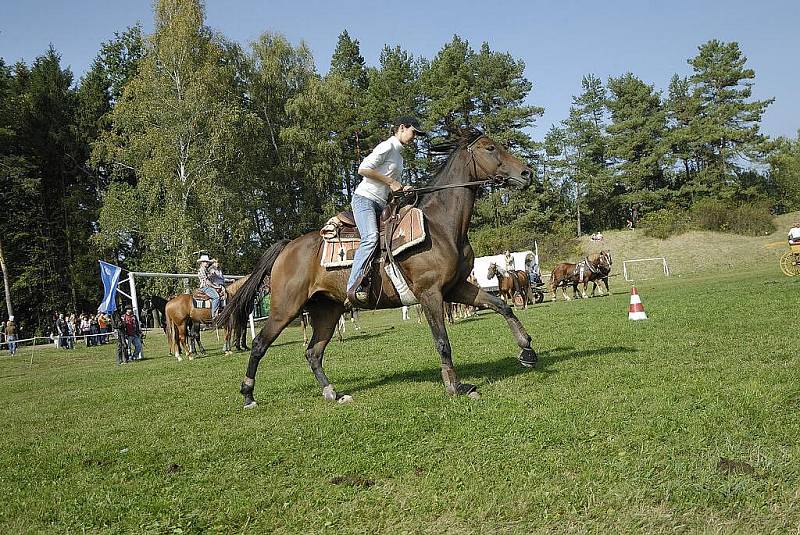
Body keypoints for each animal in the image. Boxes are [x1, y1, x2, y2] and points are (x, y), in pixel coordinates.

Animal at [216, 131, 536, 410]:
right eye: (489, 148)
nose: (526, 173)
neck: (440, 226)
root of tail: (287, 247)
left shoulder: (456, 287)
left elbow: (501, 306)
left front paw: (527, 351)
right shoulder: (430, 294)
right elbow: (443, 342)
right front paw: (456, 386)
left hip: (327, 309)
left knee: (313, 352)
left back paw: (333, 393)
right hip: (286, 307)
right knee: (259, 344)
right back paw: (248, 395)